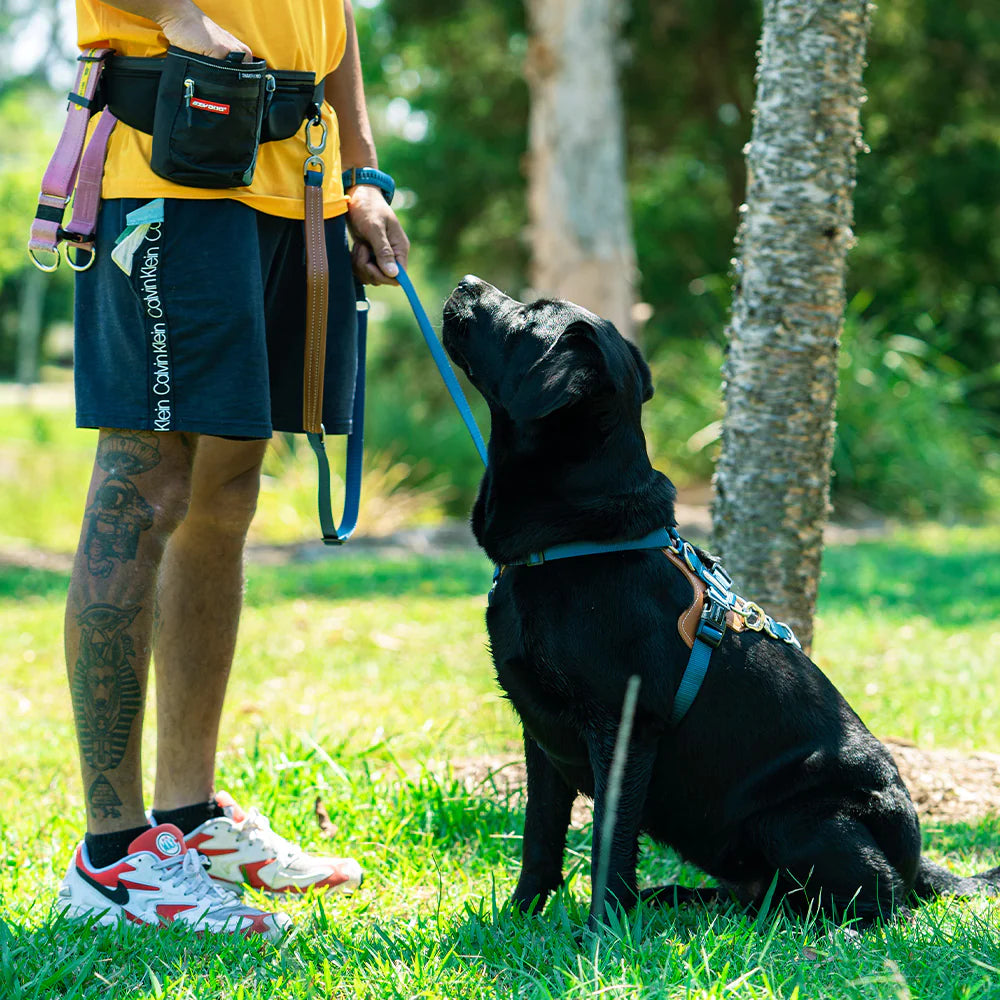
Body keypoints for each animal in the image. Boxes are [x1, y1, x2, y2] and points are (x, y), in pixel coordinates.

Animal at [444, 276, 1000, 928]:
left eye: (529, 314)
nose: (465, 283)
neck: (575, 541)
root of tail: (917, 862)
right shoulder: (542, 733)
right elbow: (541, 836)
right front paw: (521, 917)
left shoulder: (623, 726)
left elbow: (609, 838)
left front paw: (600, 933)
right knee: (763, 892)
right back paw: (681, 901)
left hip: (801, 818)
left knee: (881, 901)